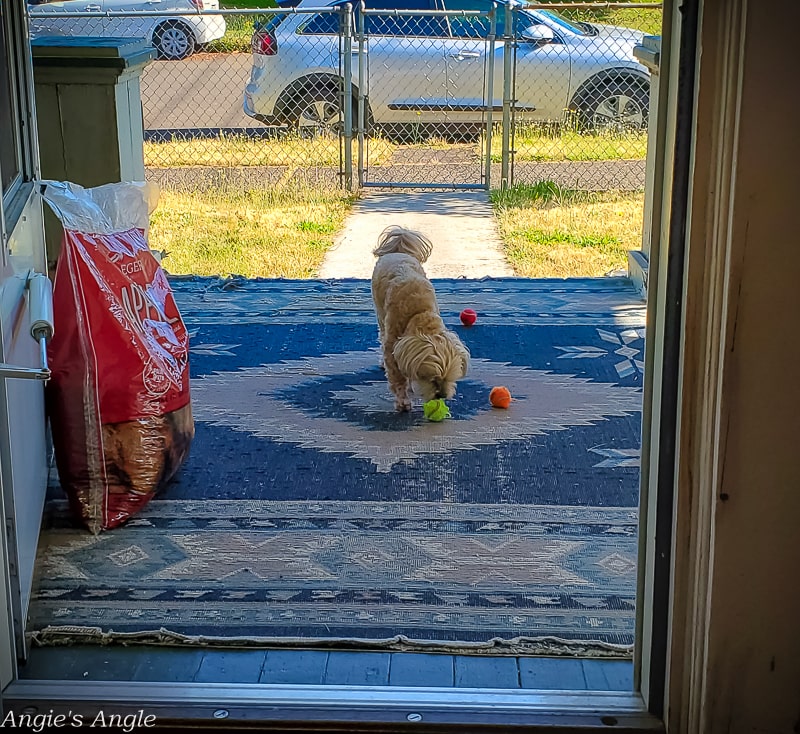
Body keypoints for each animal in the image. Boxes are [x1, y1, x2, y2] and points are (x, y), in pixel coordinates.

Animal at [370, 227, 468, 412]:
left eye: (449, 378)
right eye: (433, 379)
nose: (441, 395)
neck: (420, 314)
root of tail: (398, 249)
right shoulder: (392, 345)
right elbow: (397, 376)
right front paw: (403, 401)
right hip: (379, 311)